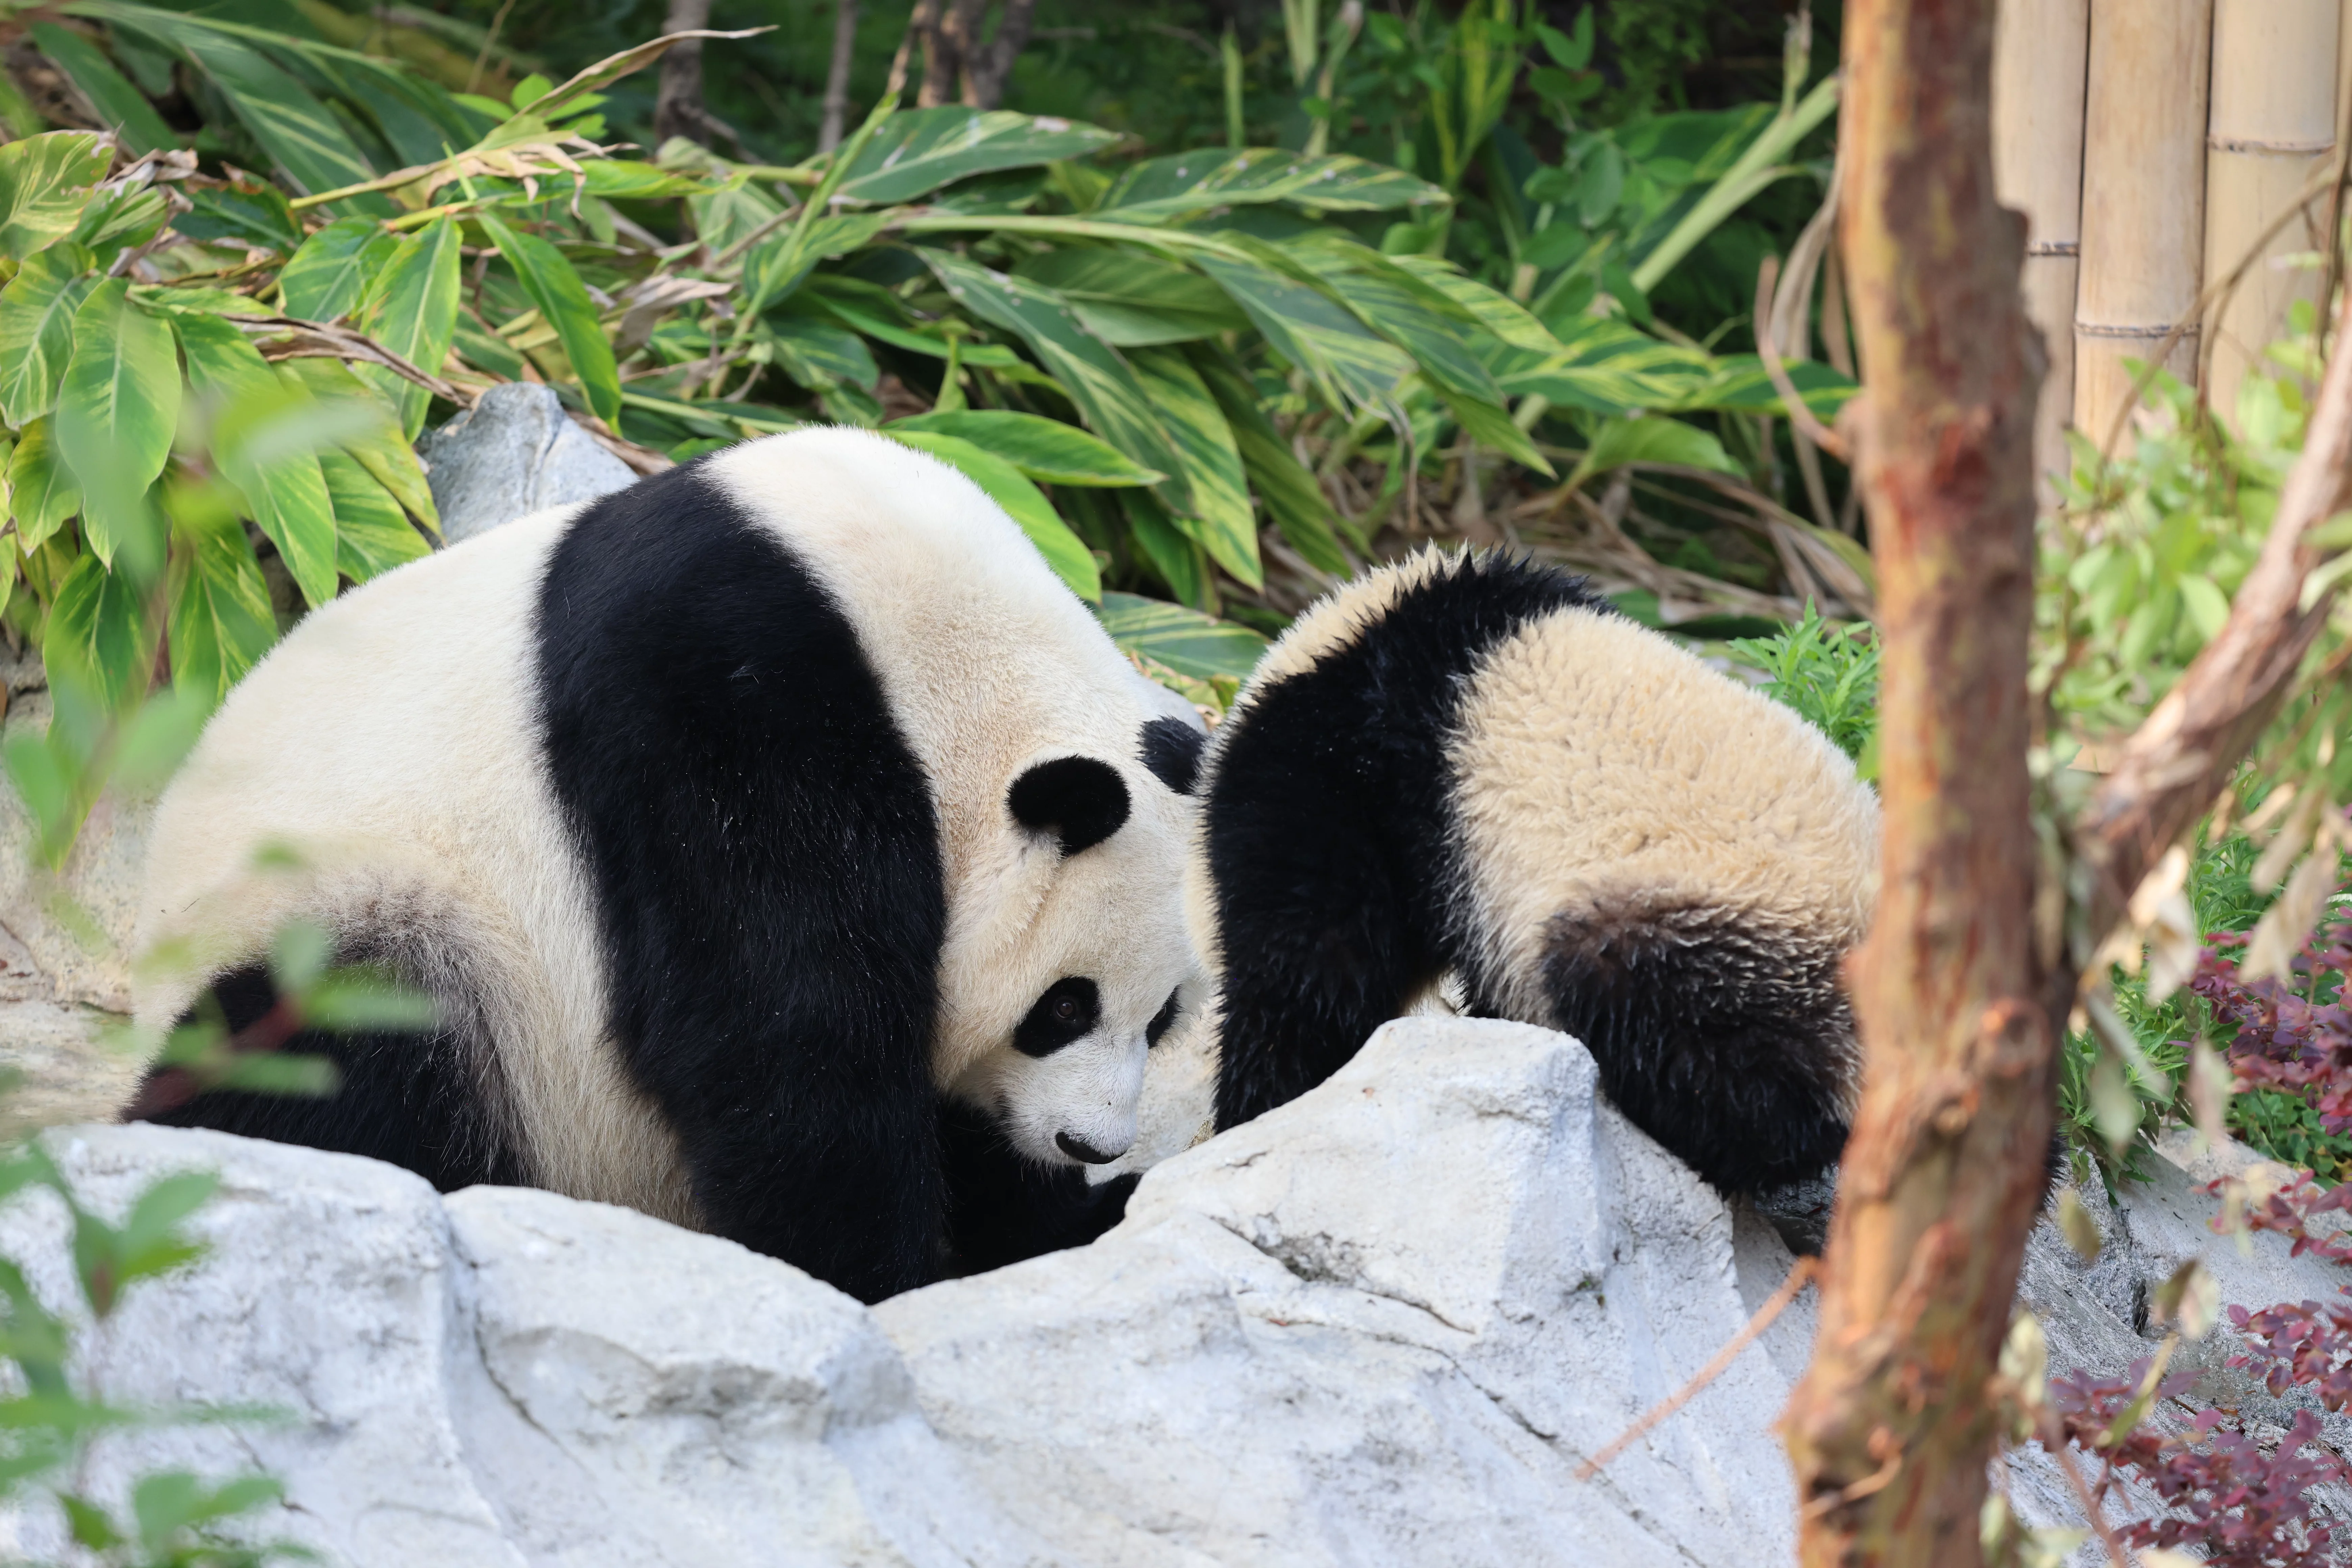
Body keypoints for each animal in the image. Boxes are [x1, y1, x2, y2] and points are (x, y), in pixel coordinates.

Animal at [127, 427, 1202, 1303]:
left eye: (1163, 1019)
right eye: (1063, 1007)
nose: (1089, 1142)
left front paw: (1065, 1218)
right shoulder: (722, 694)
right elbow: (777, 1020)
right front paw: (876, 1273)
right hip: (367, 913)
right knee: (343, 1049)